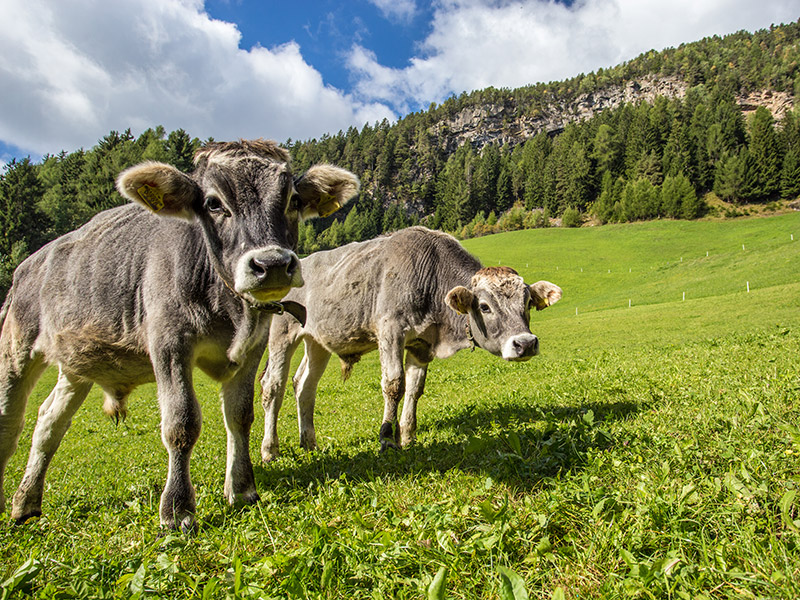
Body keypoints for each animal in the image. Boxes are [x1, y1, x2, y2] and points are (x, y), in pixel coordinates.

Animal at [0, 138, 358, 528]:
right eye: (213, 203)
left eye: (292, 200)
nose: (273, 264)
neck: (230, 310)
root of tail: (30, 262)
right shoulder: (170, 343)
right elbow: (181, 423)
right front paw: (177, 508)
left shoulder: (252, 349)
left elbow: (239, 416)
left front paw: (242, 489)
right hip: (16, 348)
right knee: (9, 422)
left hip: (78, 363)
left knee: (49, 421)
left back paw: (26, 501)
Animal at [260, 226, 560, 460]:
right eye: (485, 306)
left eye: (527, 302)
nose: (525, 343)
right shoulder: (390, 330)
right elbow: (394, 385)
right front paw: (387, 438)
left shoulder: (421, 344)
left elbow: (415, 389)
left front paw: (407, 437)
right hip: (281, 333)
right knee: (272, 386)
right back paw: (269, 449)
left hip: (317, 341)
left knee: (304, 386)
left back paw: (309, 442)